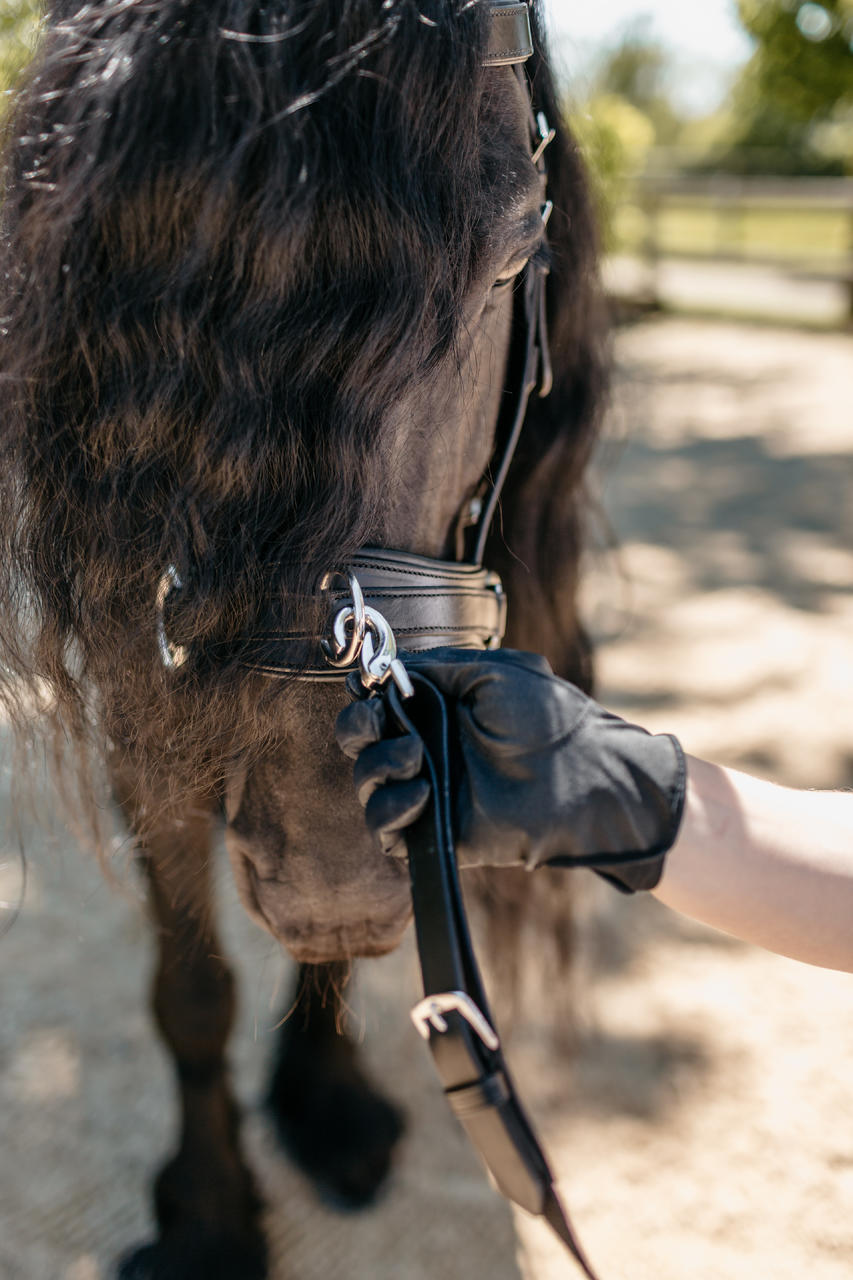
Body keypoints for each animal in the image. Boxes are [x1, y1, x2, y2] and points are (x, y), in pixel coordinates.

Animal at [0, 5, 604, 1274]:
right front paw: (210, 1215)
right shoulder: (142, 707)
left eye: (516, 253)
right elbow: (192, 986)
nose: (332, 860)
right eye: (136, 271)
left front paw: (327, 1104)